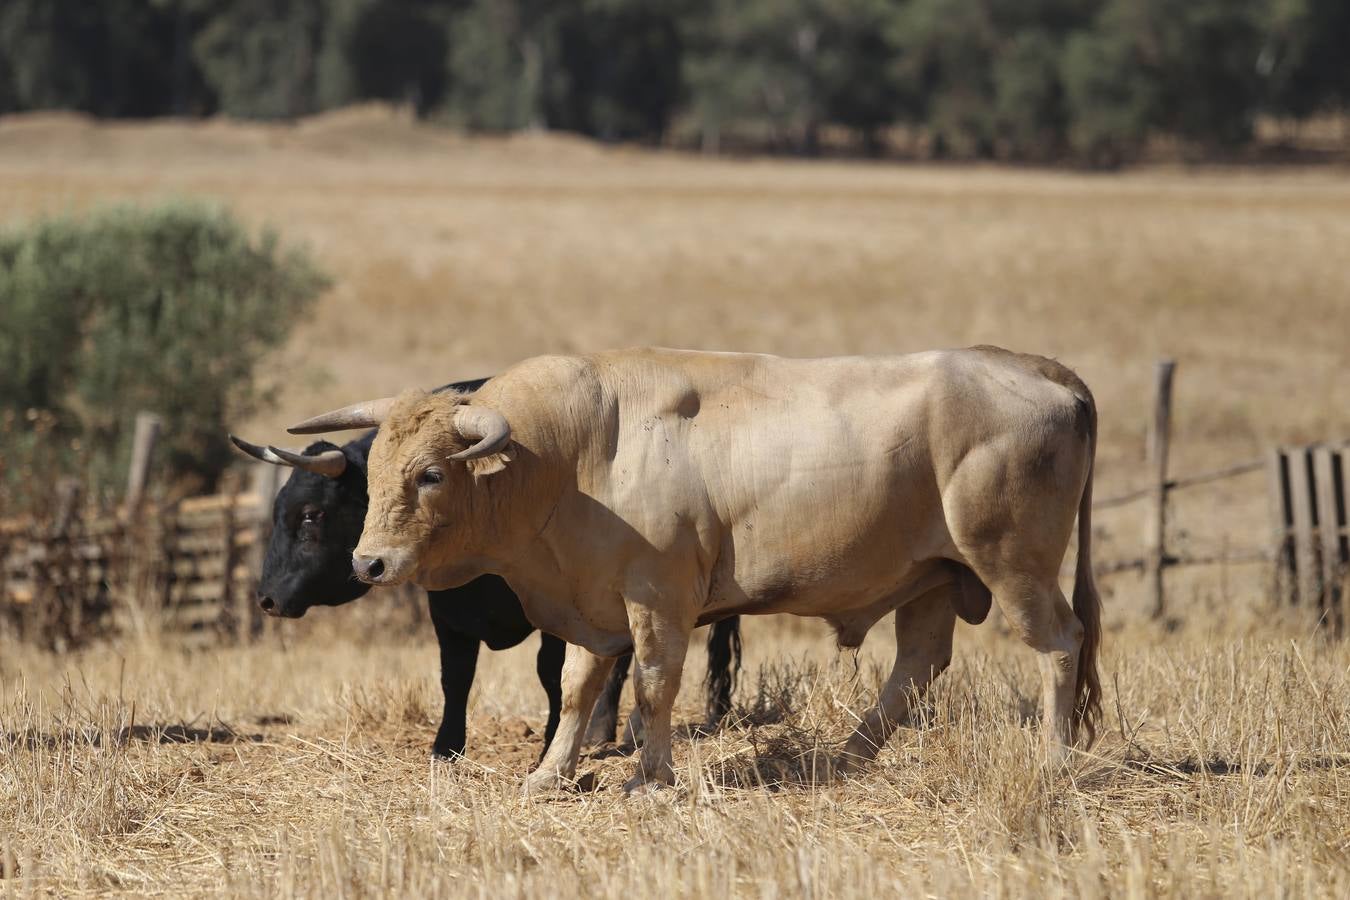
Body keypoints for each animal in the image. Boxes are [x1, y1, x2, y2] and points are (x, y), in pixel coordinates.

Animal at [229, 377, 739, 761]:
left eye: (311, 515)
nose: (267, 599)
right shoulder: (447, 613)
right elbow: (455, 676)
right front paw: (445, 747)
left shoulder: (559, 612)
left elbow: (550, 674)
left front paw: (549, 745)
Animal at [290, 348, 1101, 793]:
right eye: (376, 471)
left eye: (431, 474)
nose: (370, 561)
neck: (576, 450)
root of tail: (1036, 368)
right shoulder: (595, 604)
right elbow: (579, 689)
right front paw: (551, 772)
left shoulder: (658, 598)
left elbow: (654, 685)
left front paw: (649, 777)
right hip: (931, 576)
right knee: (918, 666)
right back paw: (845, 756)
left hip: (1011, 565)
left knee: (1061, 644)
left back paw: (1053, 758)